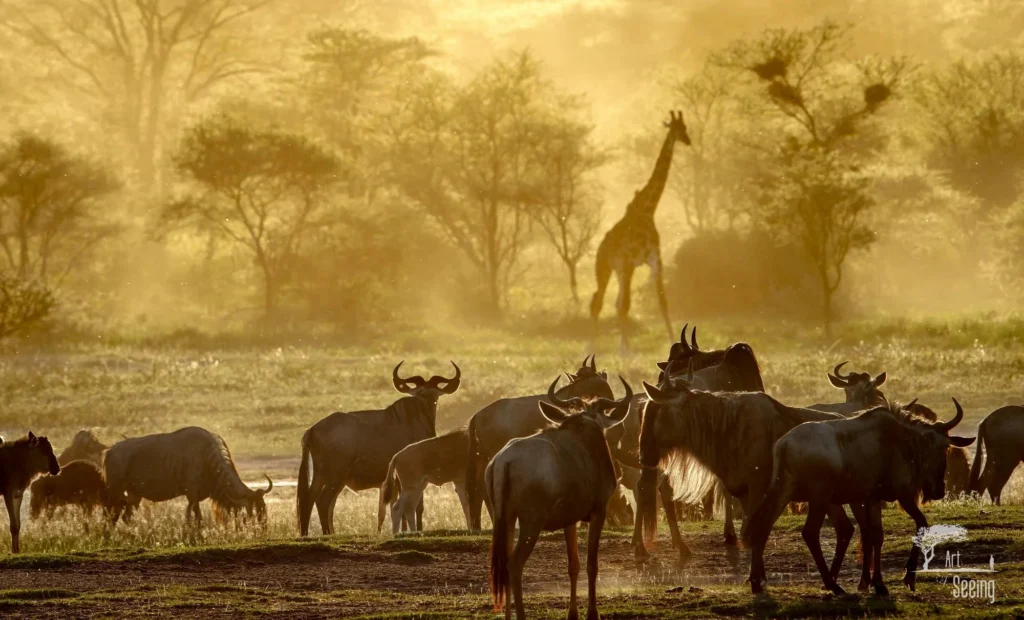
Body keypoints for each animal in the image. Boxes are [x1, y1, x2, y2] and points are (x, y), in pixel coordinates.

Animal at [590, 110, 690, 350]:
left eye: (686, 127)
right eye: (677, 129)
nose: (688, 141)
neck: (648, 209)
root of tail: (599, 249)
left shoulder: (654, 257)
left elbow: (663, 301)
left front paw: (673, 341)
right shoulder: (629, 262)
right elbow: (626, 305)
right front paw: (627, 351)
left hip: (618, 270)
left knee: (613, 302)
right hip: (605, 268)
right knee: (598, 301)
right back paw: (591, 347)